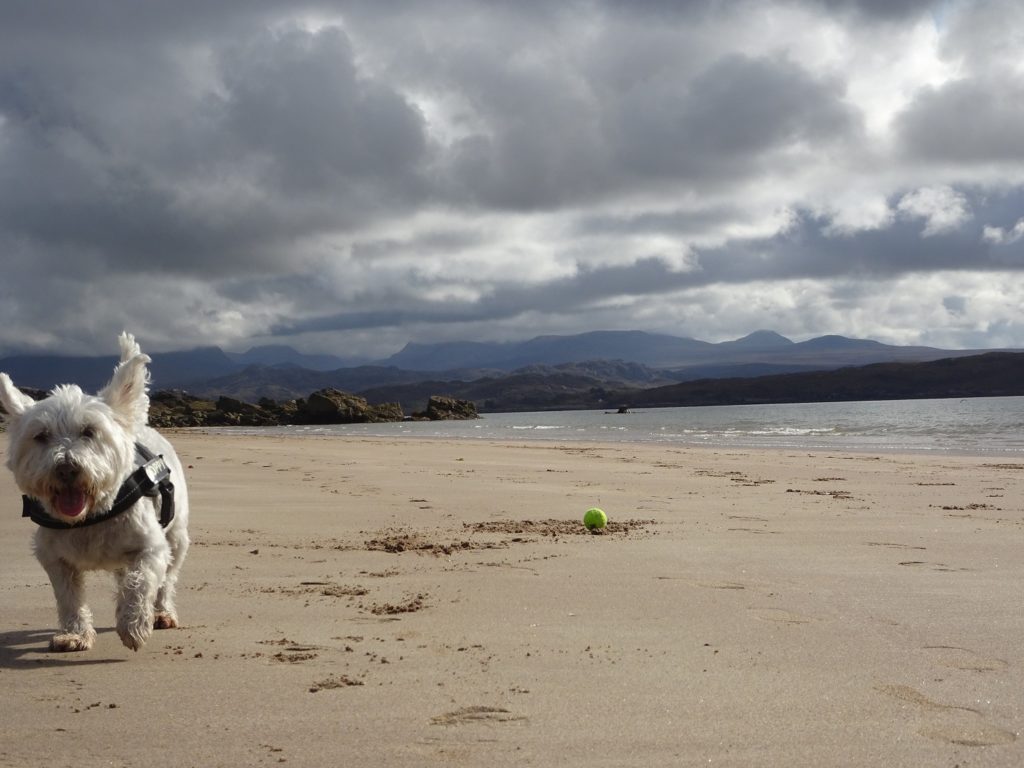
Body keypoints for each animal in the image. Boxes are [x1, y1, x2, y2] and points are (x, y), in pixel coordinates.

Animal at [0, 333, 190, 651]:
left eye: (89, 431)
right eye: (41, 436)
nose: (66, 469)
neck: (90, 516)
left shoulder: (151, 547)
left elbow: (141, 581)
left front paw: (133, 624)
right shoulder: (54, 558)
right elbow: (68, 597)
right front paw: (74, 633)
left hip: (176, 537)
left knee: (167, 578)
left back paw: (162, 613)